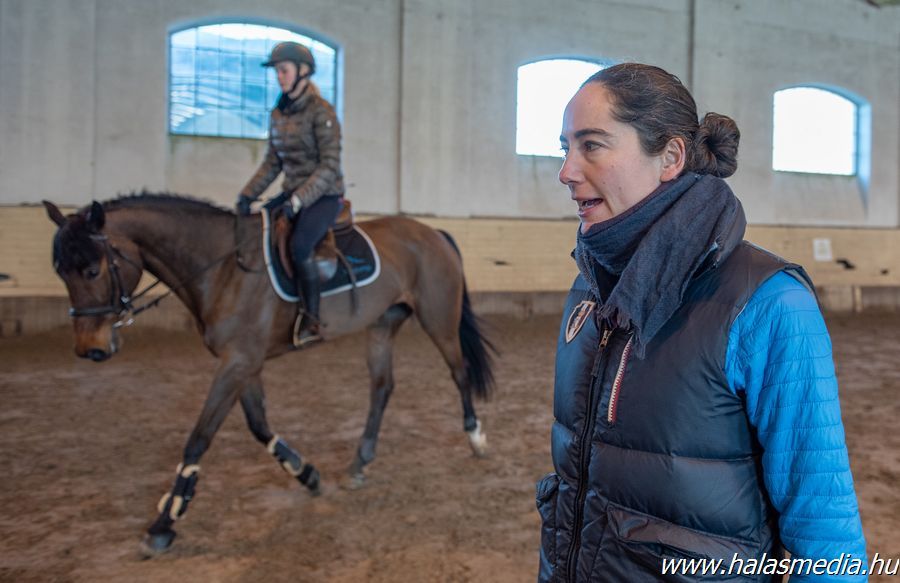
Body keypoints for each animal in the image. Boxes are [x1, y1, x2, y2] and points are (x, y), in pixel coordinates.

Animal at [41, 194, 496, 553]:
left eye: (93, 269)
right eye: (61, 271)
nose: (91, 349)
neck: (223, 268)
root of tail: (432, 232)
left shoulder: (238, 361)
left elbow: (199, 438)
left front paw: (164, 523)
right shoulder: (244, 361)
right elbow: (259, 425)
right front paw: (307, 475)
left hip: (439, 318)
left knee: (459, 373)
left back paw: (476, 438)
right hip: (384, 324)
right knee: (382, 387)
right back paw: (360, 464)